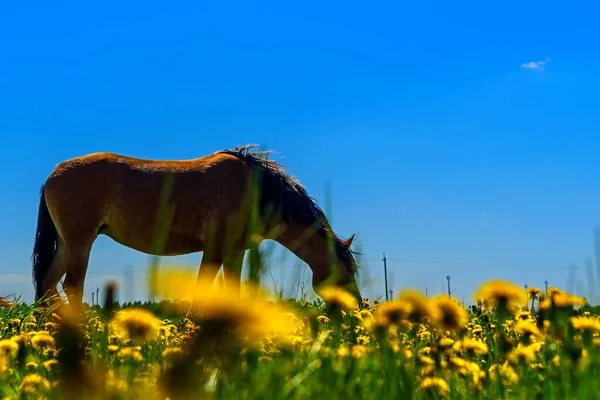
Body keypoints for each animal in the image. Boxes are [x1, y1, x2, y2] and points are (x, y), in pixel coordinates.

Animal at [31, 145, 360, 312]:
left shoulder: (234, 253)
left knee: (48, 282)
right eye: (348, 271)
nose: (356, 308)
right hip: (80, 243)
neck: (257, 189)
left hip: (66, 245)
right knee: (71, 286)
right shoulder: (215, 248)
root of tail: (51, 176)